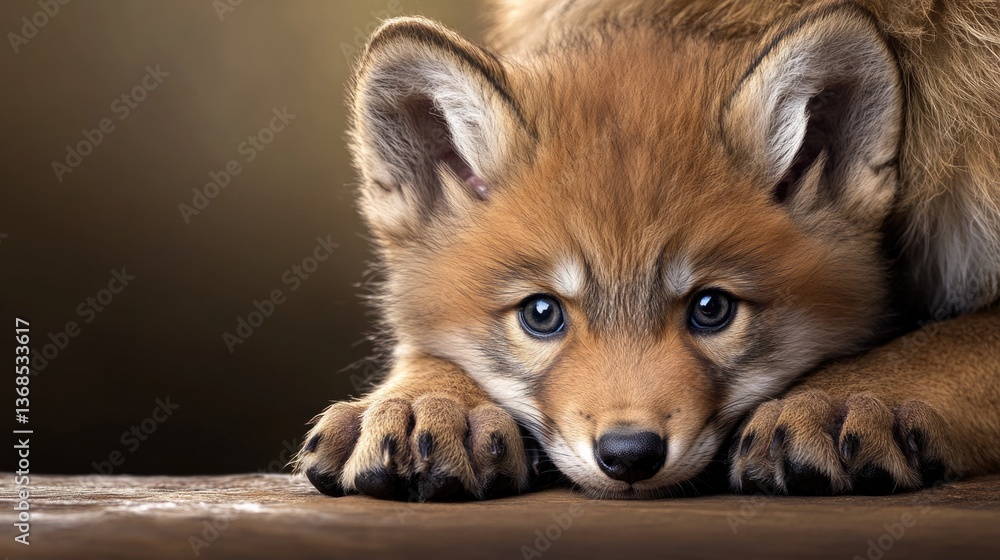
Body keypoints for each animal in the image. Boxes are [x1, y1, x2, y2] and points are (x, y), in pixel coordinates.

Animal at [294, 0, 1000, 500]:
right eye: (541, 314)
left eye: (712, 308)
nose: (630, 454)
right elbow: (430, 350)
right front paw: (424, 402)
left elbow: (937, 347)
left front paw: (845, 397)